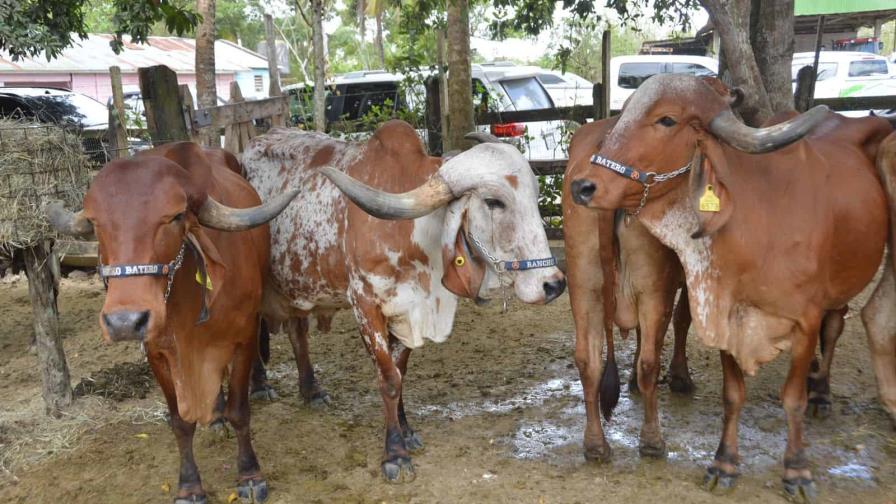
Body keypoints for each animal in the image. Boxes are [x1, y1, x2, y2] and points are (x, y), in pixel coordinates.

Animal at [48, 143, 298, 504]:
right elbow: (180, 422)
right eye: (95, 223)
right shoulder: (158, 353)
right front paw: (190, 485)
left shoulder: (244, 336)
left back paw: (258, 388)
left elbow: (240, 411)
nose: (124, 322)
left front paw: (250, 474)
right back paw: (215, 415)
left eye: (175, 217)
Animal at [243, 120, 568, 482]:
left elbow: (401, 371)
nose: (553, 284)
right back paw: (258, 386)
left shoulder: (409, 312)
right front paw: (394, 453)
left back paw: (311, 390)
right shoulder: (365, 305)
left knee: (297, 331)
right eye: (494, 202)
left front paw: (406, 429)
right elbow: (388, 379)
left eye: (535, 196)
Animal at [568, 73, 896, 502]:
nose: (583, 187)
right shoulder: (723, 312)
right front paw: (726, 463)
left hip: (591, 287)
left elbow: (791, 398)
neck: (760, 216)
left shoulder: (801, 320)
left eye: (667, 120)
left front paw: (795, 470)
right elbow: (733, 392)